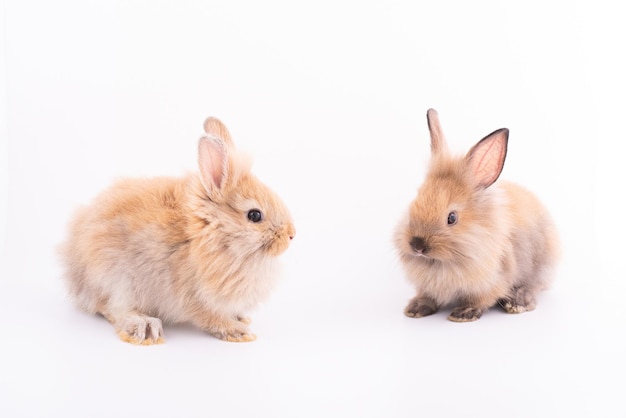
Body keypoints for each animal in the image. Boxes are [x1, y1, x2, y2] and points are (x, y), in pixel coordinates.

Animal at [59, 116, 294, 342]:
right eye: (254, 215)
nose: (291, 235)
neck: (212, 235)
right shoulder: (195, 296)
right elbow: (210, 317)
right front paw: (238, 331)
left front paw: (242, 319)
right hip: (117, 281)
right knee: (114, 309)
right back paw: (145, 327)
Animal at [392, 108, 560, 324]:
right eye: (415, 201)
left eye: (452, 218)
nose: (417, 245)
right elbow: (427, 296)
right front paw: (416, 309)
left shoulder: (494, 279)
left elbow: (481, 299)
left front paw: (463, 314)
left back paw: (517, 302)